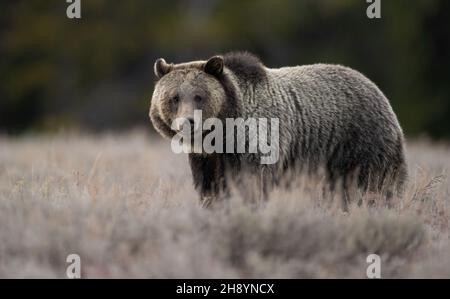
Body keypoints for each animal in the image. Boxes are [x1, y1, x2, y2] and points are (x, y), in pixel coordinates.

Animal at [149, 51, 406, 207]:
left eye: (199, 96)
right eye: (174, 97)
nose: (187, 122)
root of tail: (374, 86)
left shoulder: (256, 140)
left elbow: (253, 181)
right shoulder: (207, 158)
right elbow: (209, 186)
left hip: (360, 141)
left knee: (377, 181)